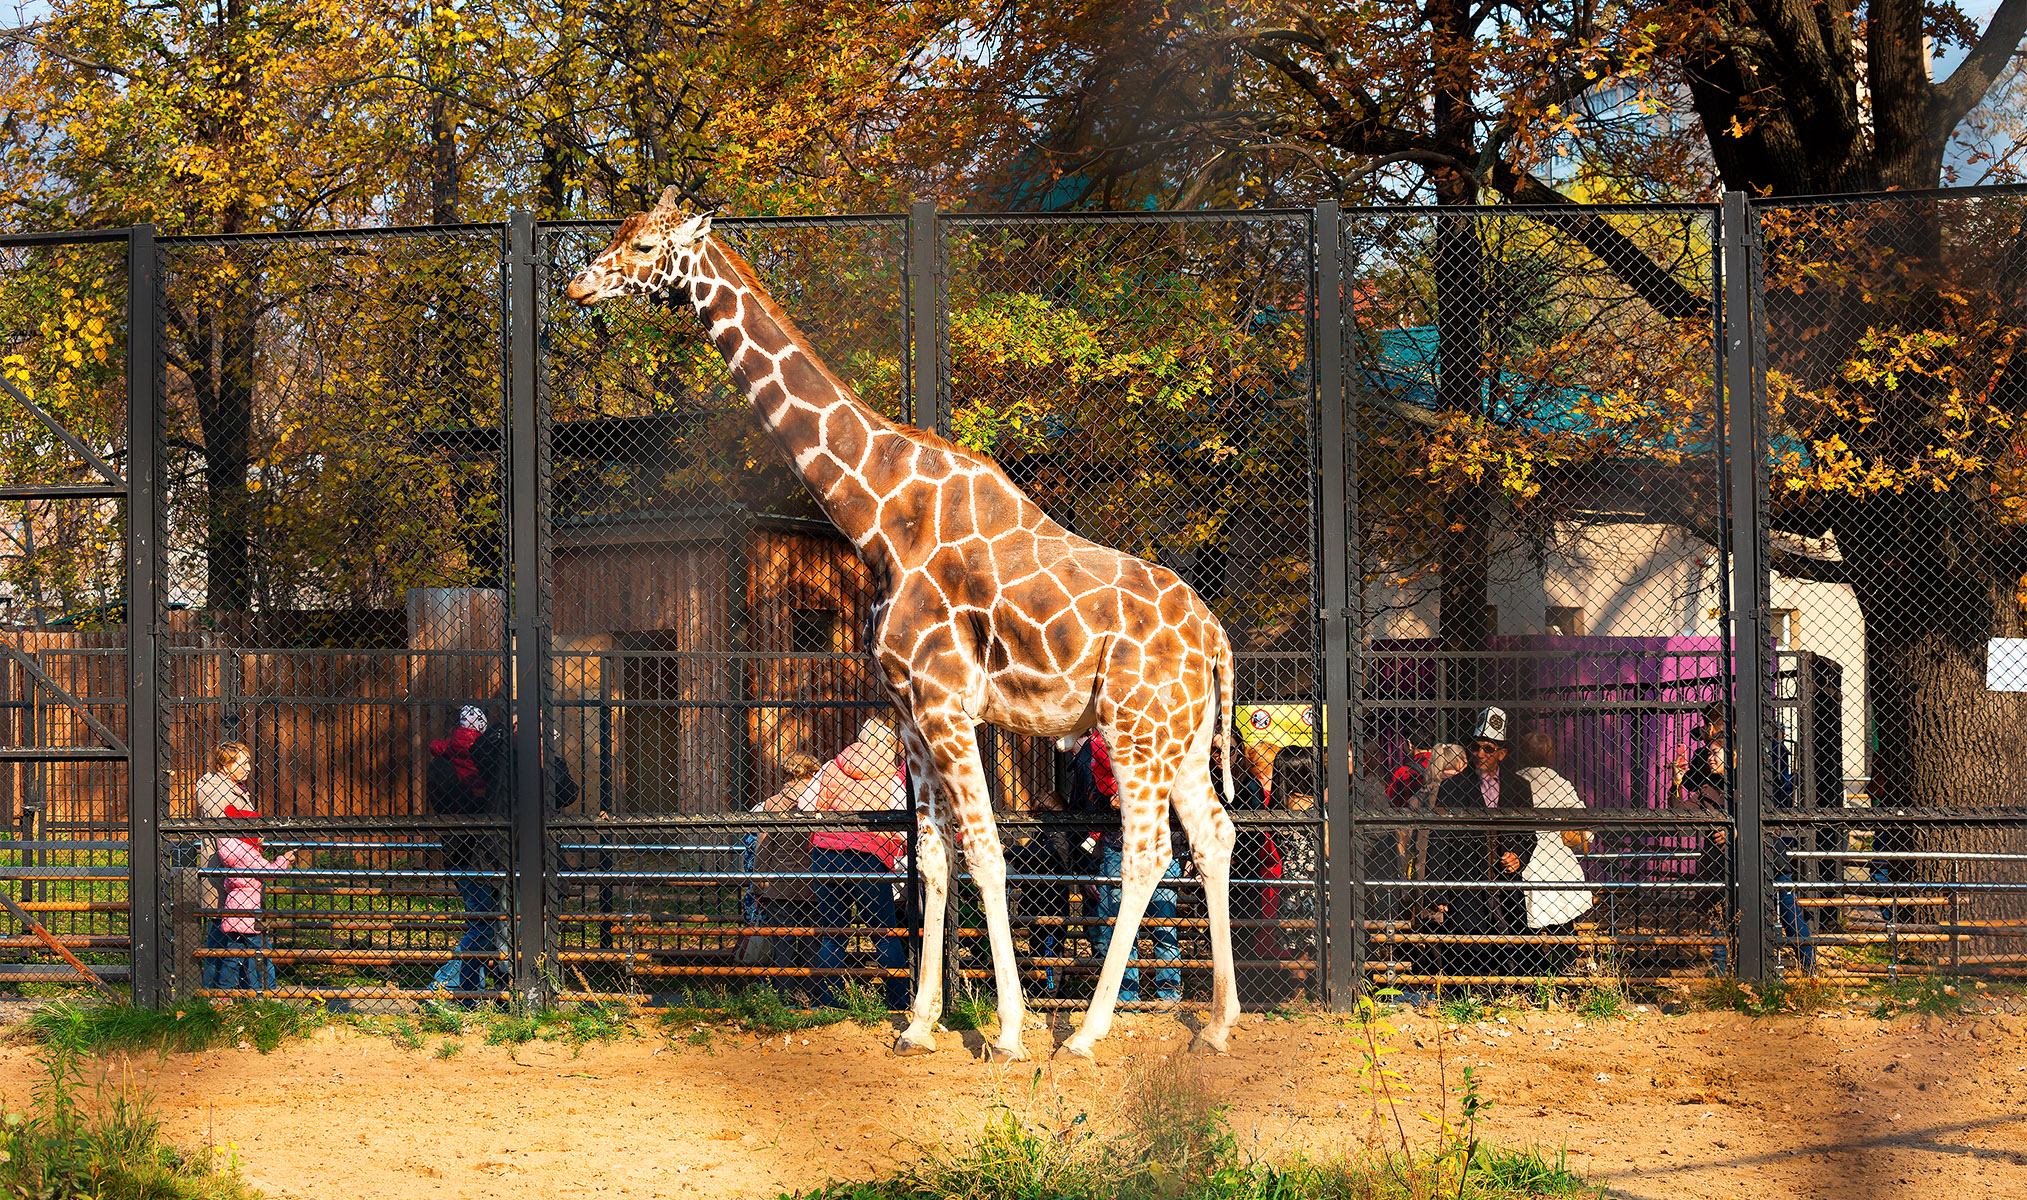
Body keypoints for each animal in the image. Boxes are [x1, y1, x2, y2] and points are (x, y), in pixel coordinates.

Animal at [563, 187, 1240, 1062]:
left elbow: (986, 854)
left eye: (646, 246)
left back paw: (1086, 1032)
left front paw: (1008, 1028)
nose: (578, 285)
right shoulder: (909, 709)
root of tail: (1214, 637)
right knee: (1214, 835)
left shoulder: (950, 702)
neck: (882, 515)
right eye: (618, 233)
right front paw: (920, 1023)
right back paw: (1218, 1024)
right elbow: (931, 857)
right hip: (1178, 736)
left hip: (1132, 729)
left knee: (1148, 853)